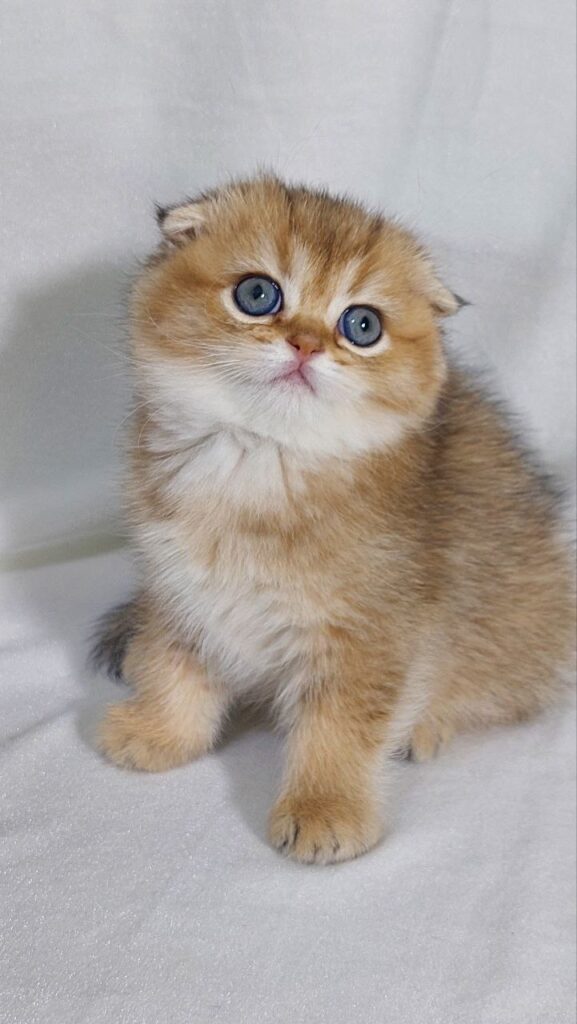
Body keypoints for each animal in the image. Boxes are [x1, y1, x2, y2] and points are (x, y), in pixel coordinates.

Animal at [92, 176, 573, 864]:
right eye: (258, 294)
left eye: (362, 325)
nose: (306, 344)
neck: (258, 466)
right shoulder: (179, 588)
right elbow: (174, 662)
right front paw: (161, 730)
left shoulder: (370, 635)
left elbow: (340, 727)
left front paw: (325, 808)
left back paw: (429, 724)